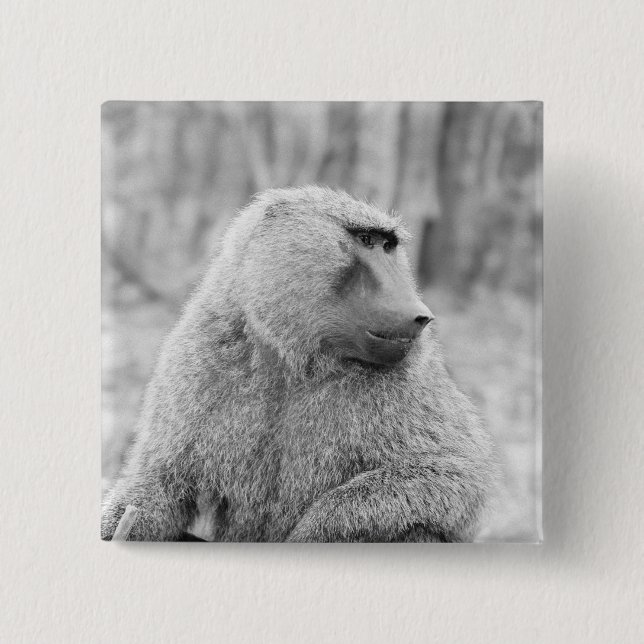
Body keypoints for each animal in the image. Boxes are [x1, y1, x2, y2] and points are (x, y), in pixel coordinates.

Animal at [102, 186, 498, 542]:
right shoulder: (194, 357)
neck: (292, 359)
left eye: (388, 246)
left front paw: (311, 533)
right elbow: (162, 482)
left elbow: (457, 476)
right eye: (365, 239)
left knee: (417, 529)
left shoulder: (410, 378)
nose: (421, 316)